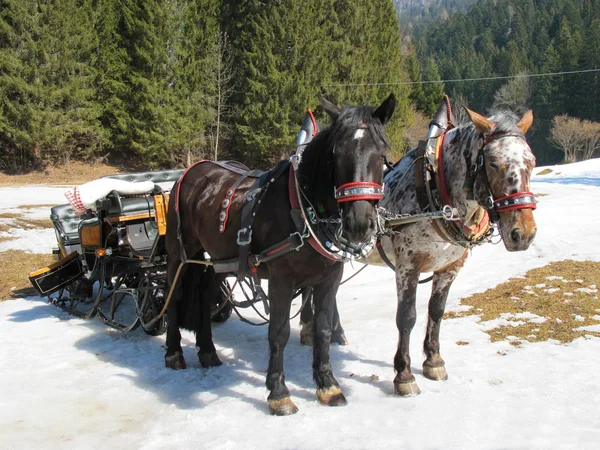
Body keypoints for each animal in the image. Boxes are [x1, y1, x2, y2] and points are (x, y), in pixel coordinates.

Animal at [164, 94, 398, 414]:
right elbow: (278, 332)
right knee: (173, 296)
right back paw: (174, 353)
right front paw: (278, 392)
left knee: (204, 294)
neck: (304, 210)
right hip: (180, 254)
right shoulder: (280, 279)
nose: (359, 223)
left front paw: (328, 385)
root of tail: (192, 171)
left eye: (380, 152)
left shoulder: (329, 279)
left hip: (218, 259)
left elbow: (323, 330)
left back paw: (208, 351)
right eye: (336, 153)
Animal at [364, 104, 536, 394]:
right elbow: (406, 317)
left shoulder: (449, 268)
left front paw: (433, 360)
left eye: (532, 161)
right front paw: (404, 374)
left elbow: (437, 311)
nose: (523, 234)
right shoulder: (407, 267)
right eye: (492, 162)